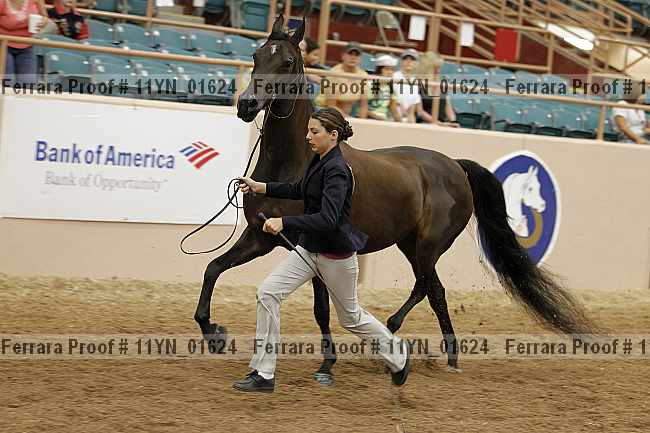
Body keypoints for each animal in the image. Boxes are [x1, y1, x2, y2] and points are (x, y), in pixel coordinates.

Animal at [193, 15, 593, 383]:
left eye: (288, 62)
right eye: (257, 55)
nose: (247, 105)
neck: (296, 162)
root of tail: (455, 166)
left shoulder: (307, 243)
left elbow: (322, 309)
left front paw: (327, 364)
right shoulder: (260, 237)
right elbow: (213, 268)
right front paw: (214, 333)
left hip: (428, 245)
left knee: (424, 286)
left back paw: (393, 334)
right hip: (409, 244)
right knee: (436, 291)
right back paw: (450, 358)